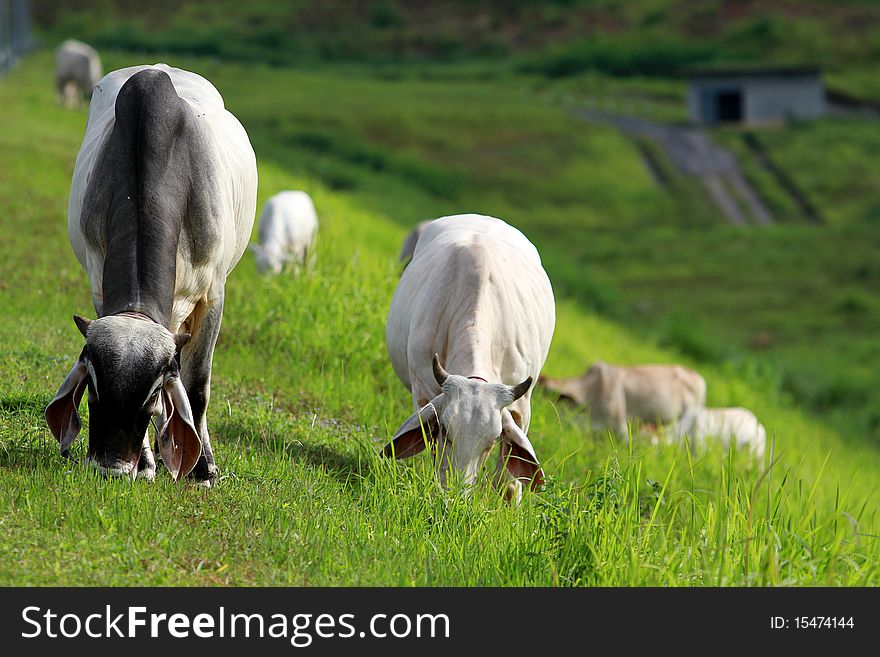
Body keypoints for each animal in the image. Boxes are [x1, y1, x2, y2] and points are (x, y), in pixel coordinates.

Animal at [45, 64, 258, 484]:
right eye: (93, 386)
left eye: (153, 391)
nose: (111, 467)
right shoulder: (100, 285)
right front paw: (146, 462)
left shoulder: (213, 295)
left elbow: (196, 387)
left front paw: (203, 468)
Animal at [386, 214, 556, 502]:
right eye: (445, 431)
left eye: (492, 441)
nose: (456, 495)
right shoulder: (422, 390)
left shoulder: (522, 405)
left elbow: (509, 477)